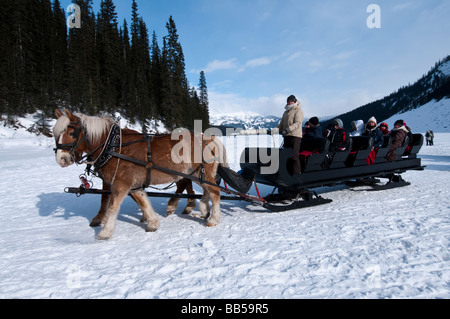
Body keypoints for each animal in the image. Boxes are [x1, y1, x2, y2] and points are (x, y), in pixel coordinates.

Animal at [53, 110, 227, 240]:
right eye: (55, 134)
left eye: (72, 132)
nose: (61, 159)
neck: (113, 146)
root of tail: (209, 138)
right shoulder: (133, 184)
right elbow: (143, 201)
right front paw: (152, 223)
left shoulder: (120, 183)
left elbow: (112, 206)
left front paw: (105, 232)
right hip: (196, 174)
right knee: (205, 190)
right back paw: (202, 209)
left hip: (199, 173)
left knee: (215, 191)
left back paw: (212, 218)